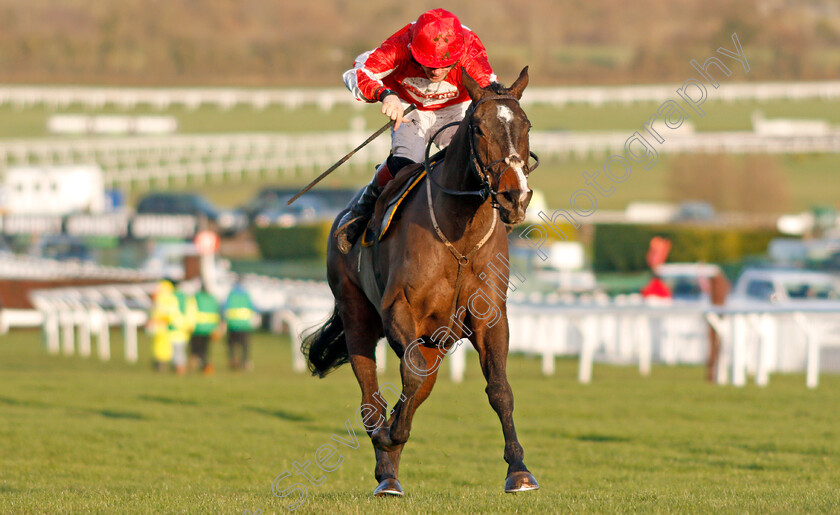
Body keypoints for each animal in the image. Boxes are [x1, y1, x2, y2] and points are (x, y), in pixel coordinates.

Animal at [302, 66, 540, 498]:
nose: (515, 196)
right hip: (357, 315)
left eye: (526, 125)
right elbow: (410, 379)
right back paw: (386, 471)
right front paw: (390, 436)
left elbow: (498, 389)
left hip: (437, 339)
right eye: (478, 128)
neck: (459, 237)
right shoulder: (399, 311)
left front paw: (519, 471)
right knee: (372, 399)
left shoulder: (489, 318)